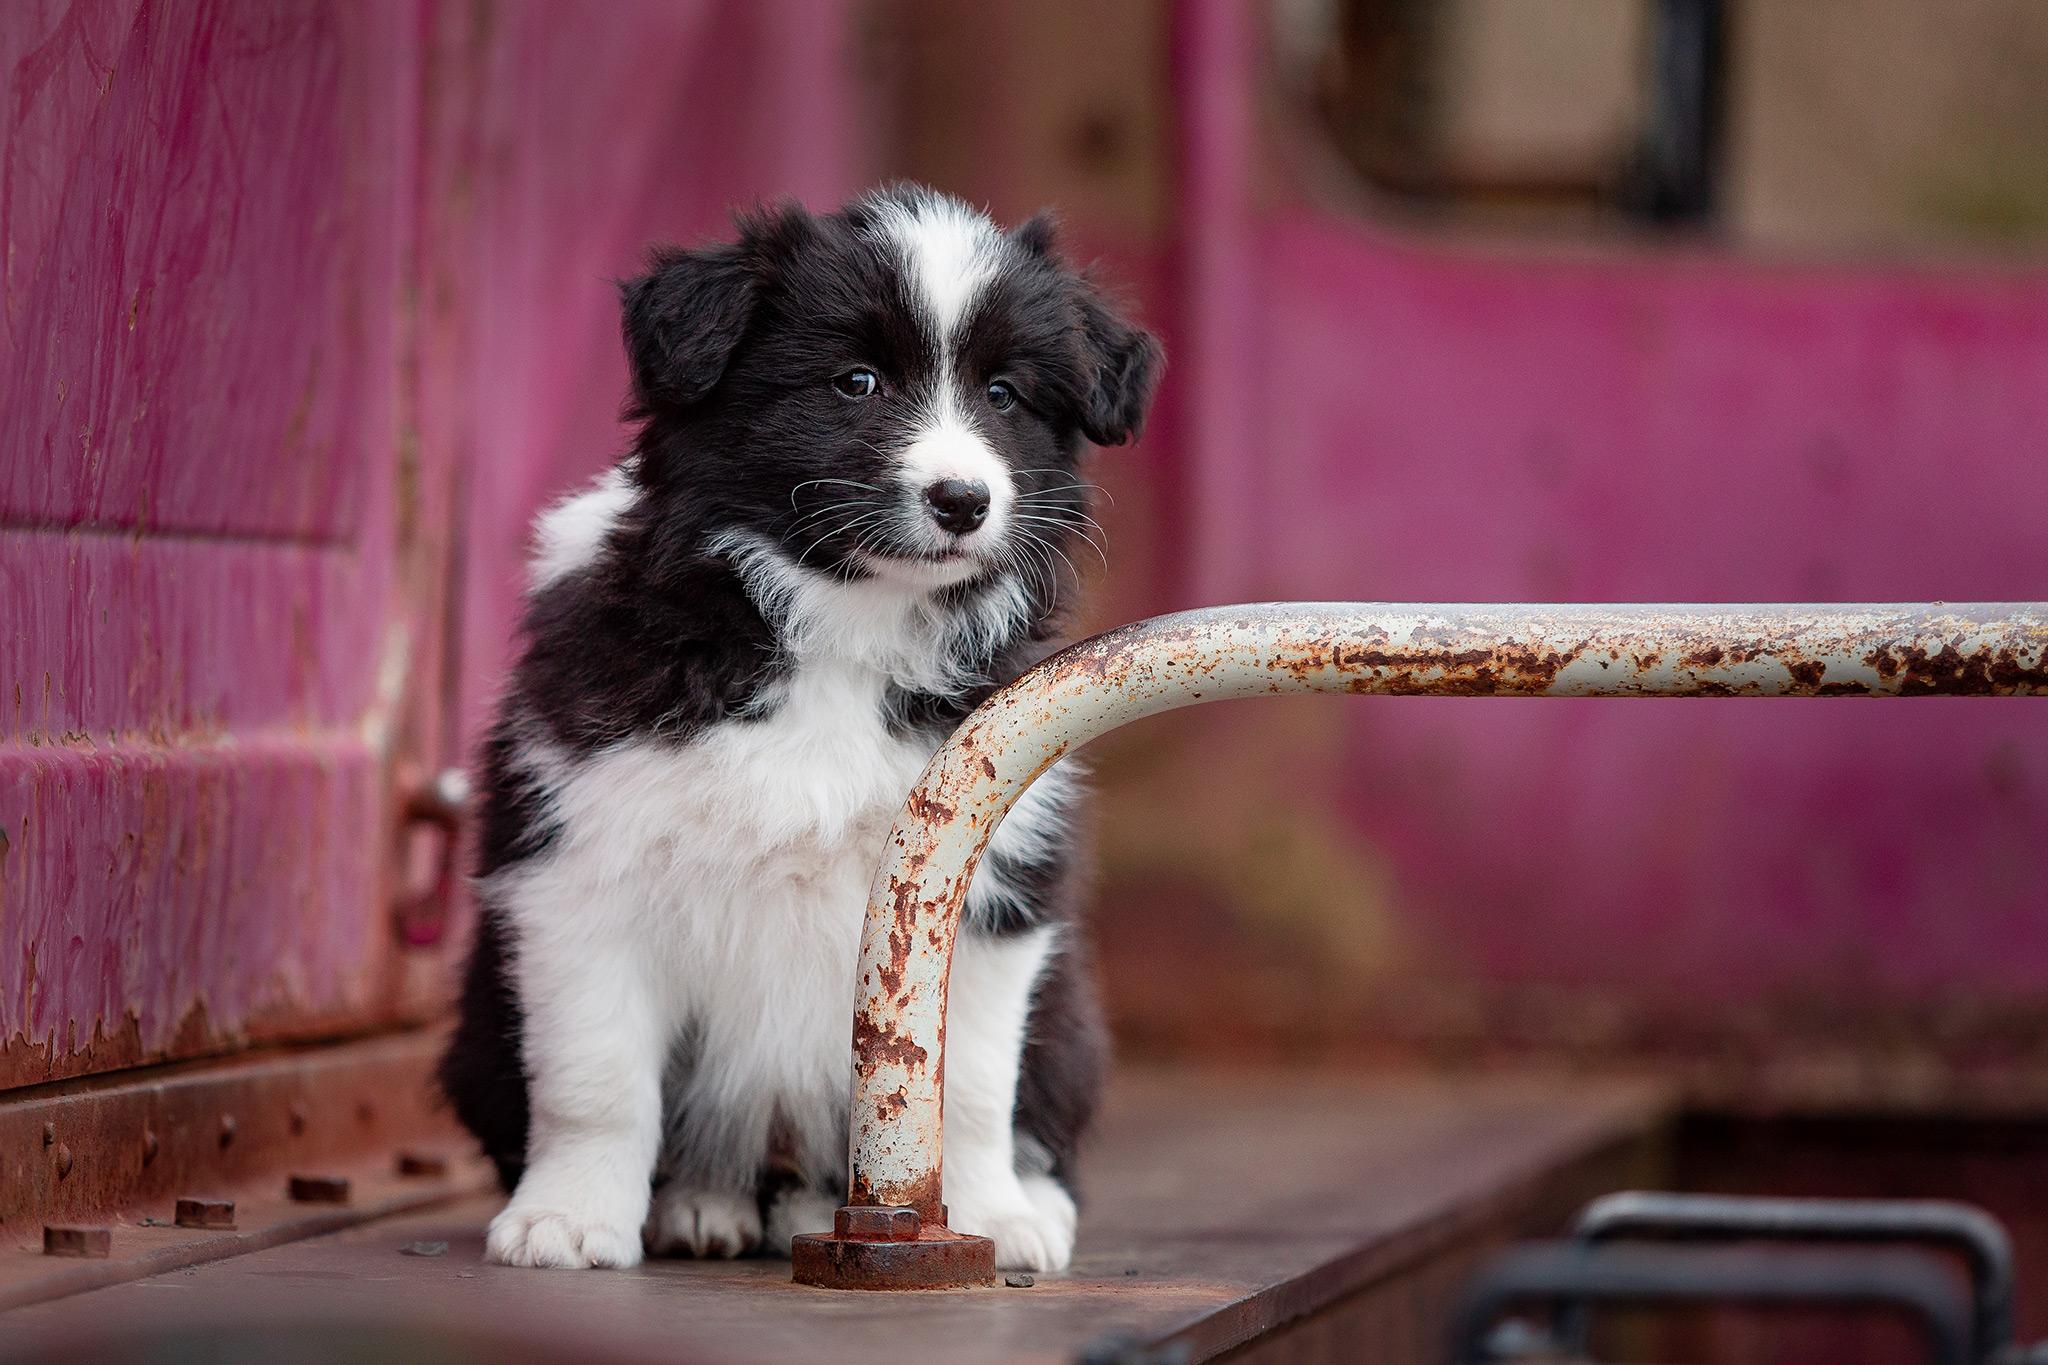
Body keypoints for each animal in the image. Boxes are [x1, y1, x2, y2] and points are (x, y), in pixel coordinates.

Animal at [438, 187, 1163, 1277]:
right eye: (854, 382)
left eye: (1003, 396)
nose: (963, 500)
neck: (844, 628)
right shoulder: (580, 869)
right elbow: (593, 1078)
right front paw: (567, 1219)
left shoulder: (986, 882)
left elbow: (968, 1083)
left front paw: (988, 1216)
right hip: (483, 1027)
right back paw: (702, 1205)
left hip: (1067, 1025)